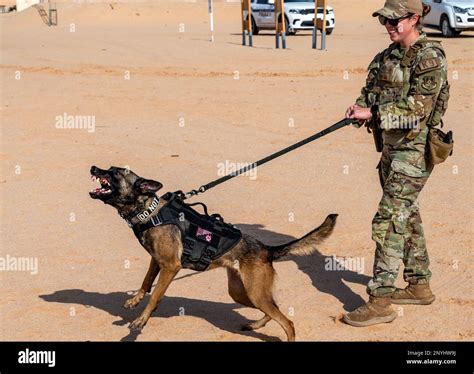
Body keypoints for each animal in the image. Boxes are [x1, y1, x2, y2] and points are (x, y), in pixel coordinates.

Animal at [89, 165, 336, 340]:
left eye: (115, 172)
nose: (93, 168)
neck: (149, 213)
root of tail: (267, 249)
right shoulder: (156, 261)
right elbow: (146, 282)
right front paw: (134, 300)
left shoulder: (170, 267)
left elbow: (155, 296)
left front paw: (141, 320)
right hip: (243, 292)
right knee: (274, 308)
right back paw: (255, 324)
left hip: (254, 293)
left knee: (288, 323)